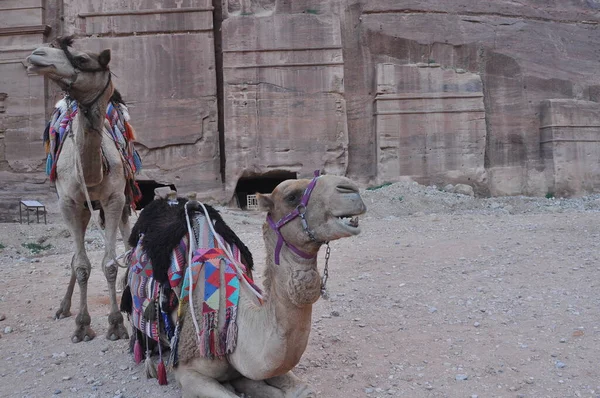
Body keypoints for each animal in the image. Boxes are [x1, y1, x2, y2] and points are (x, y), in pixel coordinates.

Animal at [28, 36, 136, 342]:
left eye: (83, 59)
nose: (36, 54)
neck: (91, 172)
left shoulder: (114, 199)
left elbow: (109, 264)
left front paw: (116, 325)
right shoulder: (69, 203)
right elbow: (81, 264)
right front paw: (82, 325)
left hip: (122, 201)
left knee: (127, 240)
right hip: (84, 209)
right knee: (76, 258)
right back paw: (63, 307)